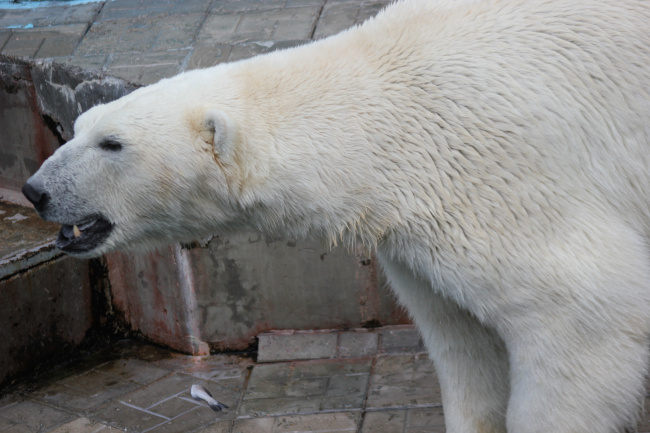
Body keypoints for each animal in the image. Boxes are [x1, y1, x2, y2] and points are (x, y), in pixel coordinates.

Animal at [21, 0, 648, 430]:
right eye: (79, 127)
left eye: (112, 144)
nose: (35, 191)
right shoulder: (422, 238)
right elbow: (463, 339)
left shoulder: (498, 178)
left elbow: (583, 314)